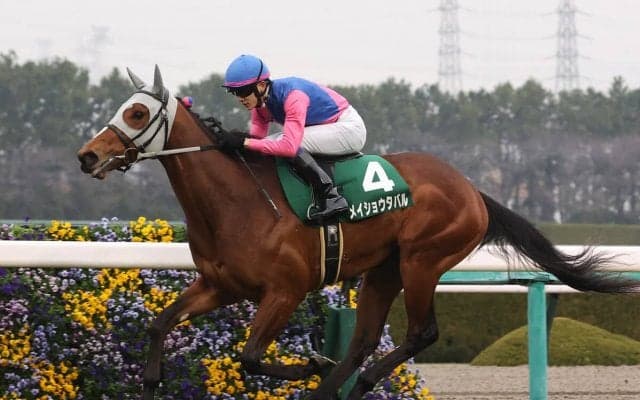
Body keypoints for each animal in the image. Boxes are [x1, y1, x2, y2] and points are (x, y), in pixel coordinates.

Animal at [77, 66, 640, 399]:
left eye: (137, 112)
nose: (87, 156)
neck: (237, 202)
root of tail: (472, 190)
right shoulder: (220, 285)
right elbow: (158, 324)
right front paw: (150, 381)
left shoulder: (285, 290)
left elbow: (251, 355)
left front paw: (308, 364)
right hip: (384, 269)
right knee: (365, 337)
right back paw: (332, 389)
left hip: (421, 261)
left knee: (420, 333)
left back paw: (353, 382)